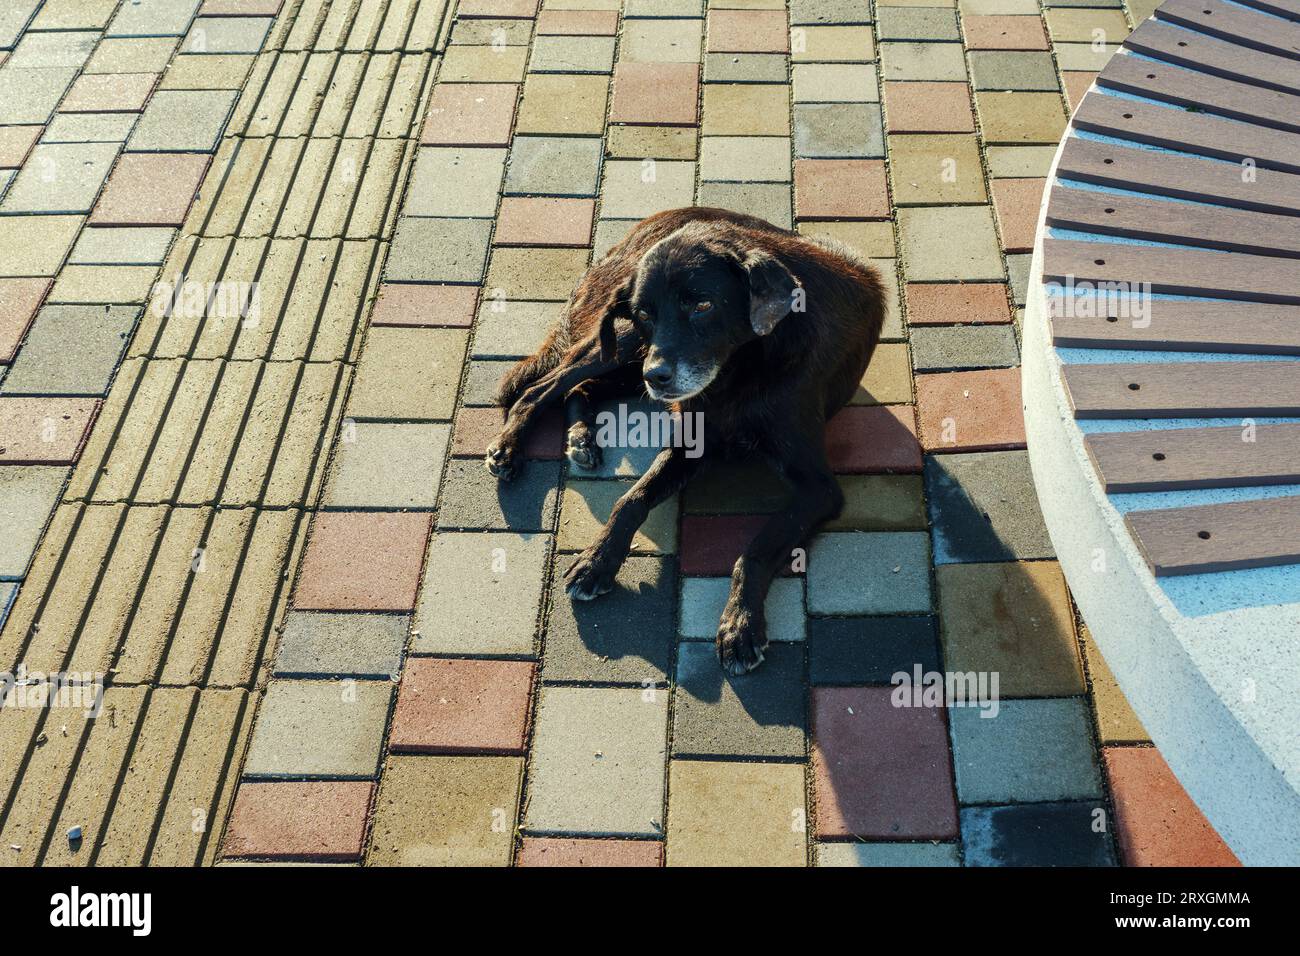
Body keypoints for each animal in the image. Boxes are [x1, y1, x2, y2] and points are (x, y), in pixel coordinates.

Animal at [491, 206, 889, 676]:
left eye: (702, 305)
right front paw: (597, 560)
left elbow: (756, 549)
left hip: (627, 360)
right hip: (624, 345)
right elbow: (630, 499)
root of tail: (651, 222)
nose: (658, 376)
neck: (742, 368)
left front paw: (739, 624)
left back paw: (581, 436)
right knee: (544, 387)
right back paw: (512, 446)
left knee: (578, 388)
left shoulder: (819, 489)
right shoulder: (687, 439)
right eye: (645, 313)